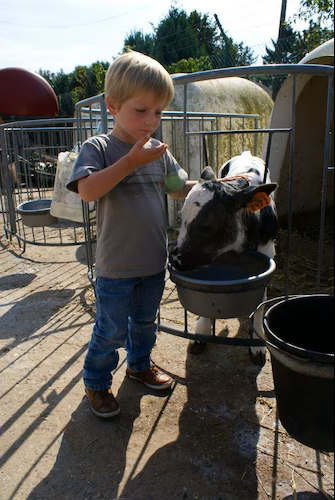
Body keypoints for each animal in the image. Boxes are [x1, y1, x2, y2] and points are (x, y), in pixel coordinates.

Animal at [171, 150, 280, 366]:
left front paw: (257, 345)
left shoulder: (267, 256)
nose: (174, 260)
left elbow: (261, 302)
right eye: (181, 218)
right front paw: (201, 331)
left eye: (206, 226)